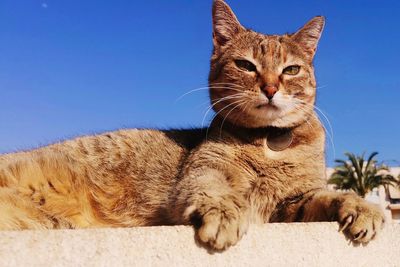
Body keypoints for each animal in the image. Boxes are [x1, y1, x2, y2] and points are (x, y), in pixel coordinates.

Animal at [0, 0, 384, 251]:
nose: (271, 87)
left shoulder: (293, 201)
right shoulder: (202, 172)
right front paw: (225, 212)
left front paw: (363, 207)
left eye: (291, 70)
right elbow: (213, 189)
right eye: (246, 65)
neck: (268, 143)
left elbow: (328, 196)